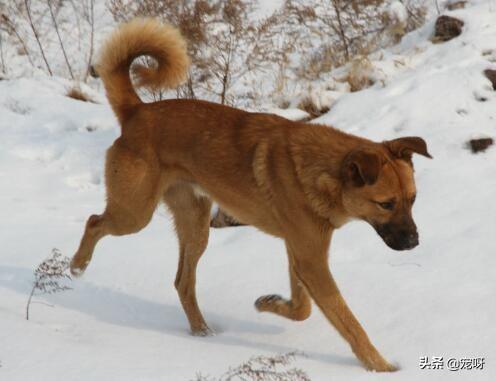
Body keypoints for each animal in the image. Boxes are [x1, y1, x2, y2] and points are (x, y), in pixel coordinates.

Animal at [70, 18, 430, 372]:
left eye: (413, 199)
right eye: (386, 204)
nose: (414, 242)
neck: (323, 173)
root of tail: (137, 112)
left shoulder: (301, 250)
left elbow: (302, 307)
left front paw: (271, 303)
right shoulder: (310, 258)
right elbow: (348, 322)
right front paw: (382, 367)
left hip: (195, 225)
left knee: (182, 282)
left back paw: (202, 333)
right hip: (135, 212)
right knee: (94, 222)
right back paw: (77, 265)